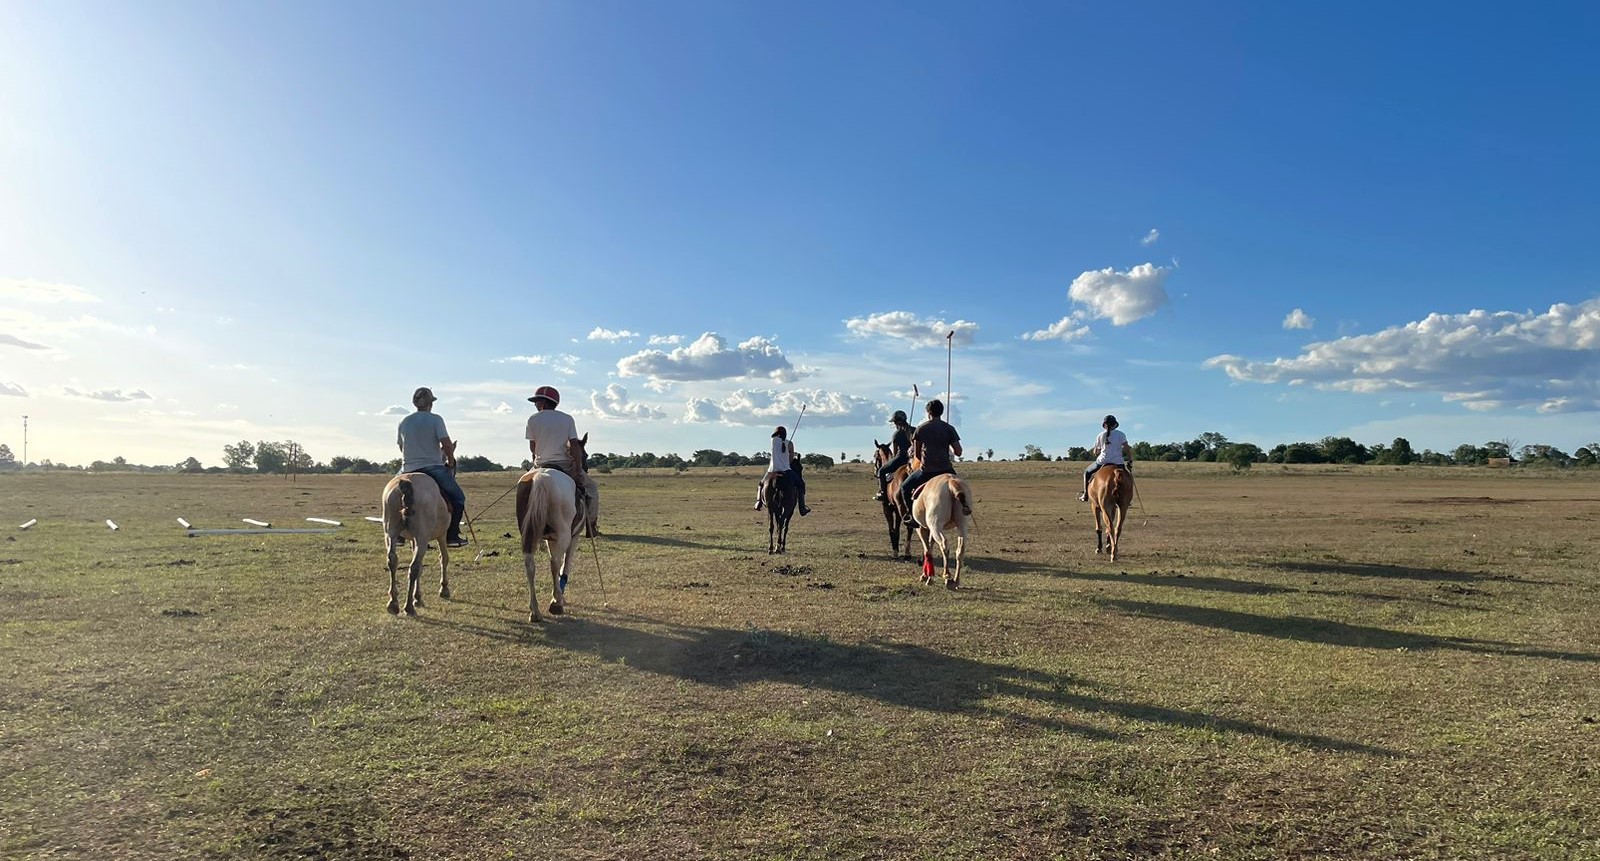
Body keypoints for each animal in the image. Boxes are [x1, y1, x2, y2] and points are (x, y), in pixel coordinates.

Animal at [387, 473, 457, 614]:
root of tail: (407, 481)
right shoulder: (441, 535)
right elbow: (444, 558)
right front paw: (444, 589)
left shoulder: (414, 539)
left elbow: (421, 566)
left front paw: (417, 597)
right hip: (423, 538)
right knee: (413, 567)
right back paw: (408, 607)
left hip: (391, 533)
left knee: (393, 561)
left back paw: (393, 602)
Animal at [512, 467, 582, 620]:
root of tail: (541, 476)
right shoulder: (573, 538)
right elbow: (565, 564)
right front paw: (559, 597)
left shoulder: (550, 539)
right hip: (564, 535)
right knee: (555, 563)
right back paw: (556, 603)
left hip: (528, 534)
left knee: (530, 565)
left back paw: (535, 611)